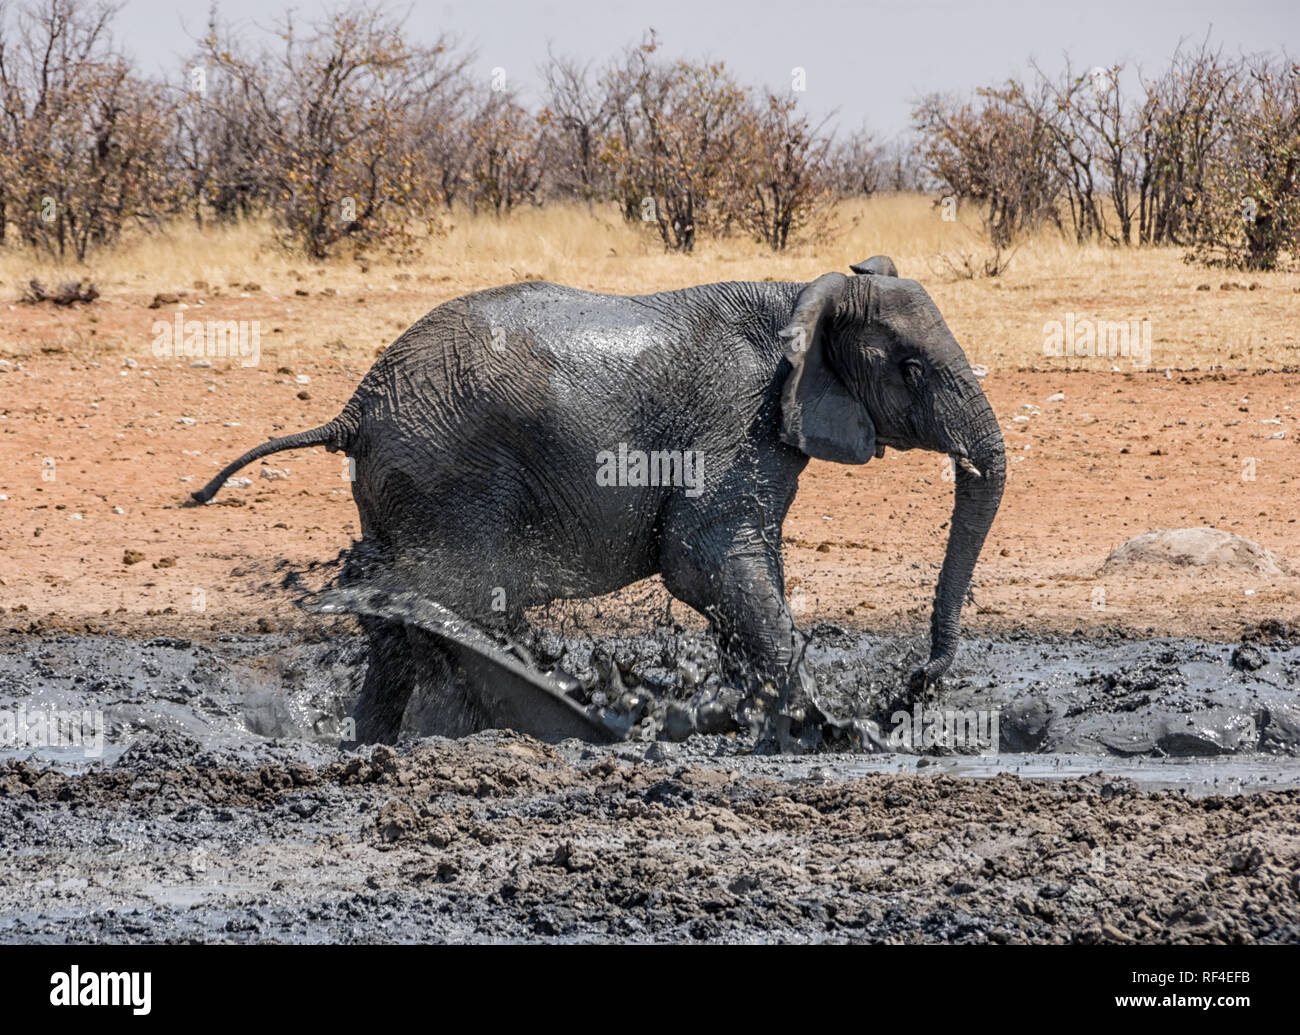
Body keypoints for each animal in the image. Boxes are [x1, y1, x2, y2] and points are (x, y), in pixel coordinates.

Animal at [192, 256, 1003, 743]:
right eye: (911, 369)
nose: (915, 683)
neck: (805, 291)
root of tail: (355, 406)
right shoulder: (736, 414)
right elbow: (704, 560)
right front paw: (818, 728)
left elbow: (741, 574)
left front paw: (752, 715)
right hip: (449, 475)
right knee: (466, 601)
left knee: (400, 631)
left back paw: (374, 743)